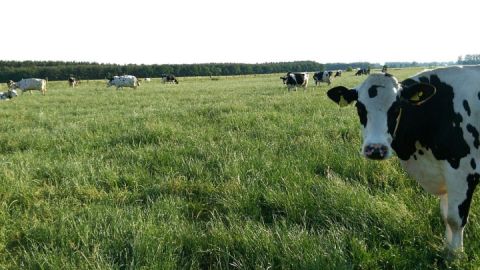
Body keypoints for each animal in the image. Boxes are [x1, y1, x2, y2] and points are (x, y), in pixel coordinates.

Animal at [326, 65, 480, 253]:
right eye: (360, 108)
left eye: (396, 108)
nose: (375, 149)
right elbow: (445, 216)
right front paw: (447, 249)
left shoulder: (463, 171)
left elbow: (455, 219)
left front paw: (455, 255)